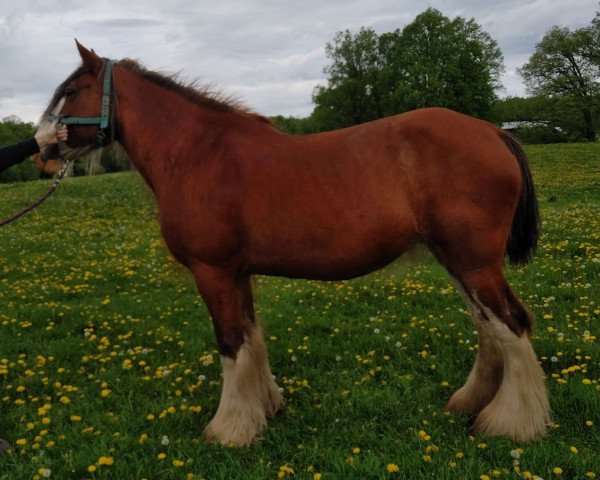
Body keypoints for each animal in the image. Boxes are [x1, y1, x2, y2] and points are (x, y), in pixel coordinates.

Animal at [37, 41, 552, 446]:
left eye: (70, 92)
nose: (41, 149)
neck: (198, 153)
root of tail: (494, 132)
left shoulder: (213, 272)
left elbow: (230, 344)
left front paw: (229, 429)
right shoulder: (237, 274)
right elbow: (251, 338)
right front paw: (263, 409)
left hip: (473, 262)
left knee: (511, 324)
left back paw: (512, 423)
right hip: (459, 260)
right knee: (488, 326)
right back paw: (473, 402)